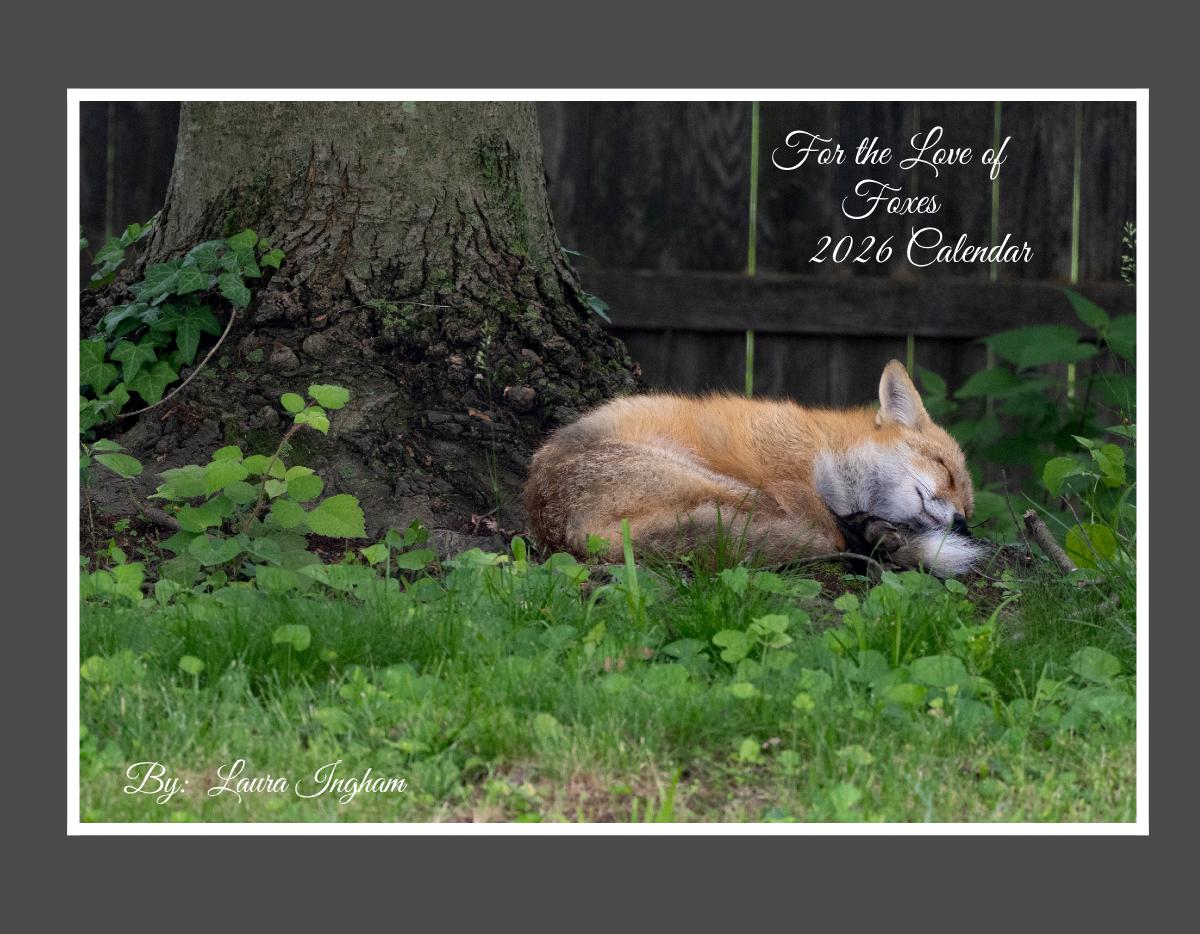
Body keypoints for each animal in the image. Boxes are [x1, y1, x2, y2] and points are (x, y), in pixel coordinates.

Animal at [524, 359, 988, 577]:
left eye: (969, 506)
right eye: (944, 469)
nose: (962, 523)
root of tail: (564, 536)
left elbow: (841, 519)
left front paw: (877, 534)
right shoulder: (784, 472)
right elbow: (827, 523)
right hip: (728, 485)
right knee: (822, 539)